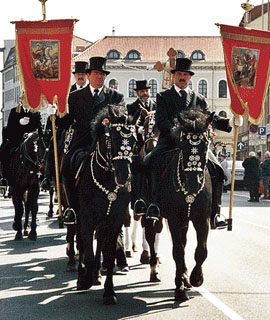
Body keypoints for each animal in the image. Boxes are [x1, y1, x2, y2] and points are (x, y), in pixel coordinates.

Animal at [76, 104, 138, 304]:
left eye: (134, 141)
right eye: (114, 139)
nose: (123, 176)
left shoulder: (114, 220)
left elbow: (109, 254)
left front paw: (109, 291)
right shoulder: (86, 217)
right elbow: (87, 247)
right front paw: (86, 279)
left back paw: (96, 273)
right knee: (80, 240)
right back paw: (84, 276)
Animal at [144, 109, 214, 302]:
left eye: (205, 143)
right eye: (183, 144)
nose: (193, 183)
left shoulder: (202, 220)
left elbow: (201, 250)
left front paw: (196, 278)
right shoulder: (174, 220)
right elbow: (177, 252)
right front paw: (180, 288)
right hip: (151, 213)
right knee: (151, 235)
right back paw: (154, 270)